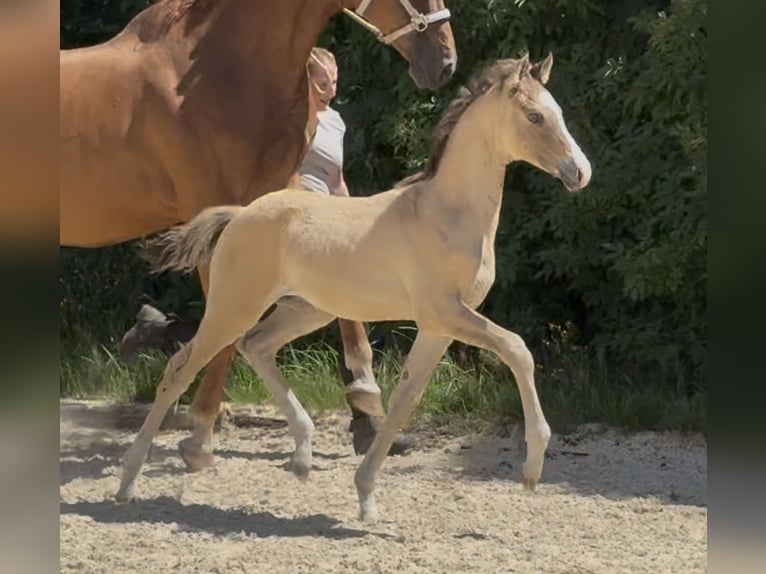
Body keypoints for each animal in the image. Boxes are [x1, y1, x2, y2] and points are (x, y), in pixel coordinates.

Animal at [60, 0, 458, 470]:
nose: (444, 63)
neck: (226, 72)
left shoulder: (281, 196)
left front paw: (366, 399)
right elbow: (228, 331)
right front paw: (200, 437)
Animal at [115, 53, 593, 522]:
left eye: (557, 111)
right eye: (534, 116)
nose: (580, 173)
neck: (445, 213)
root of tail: (239, 214)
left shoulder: (438, 326)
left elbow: (405, 399)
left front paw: (365, 496)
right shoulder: (445, 312)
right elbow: (517, 349)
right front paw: (532, 468)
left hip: (305, 310)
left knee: (257, 346)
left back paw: (302, 457)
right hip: (234, 306)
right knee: (179, 368)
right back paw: (128, 483)